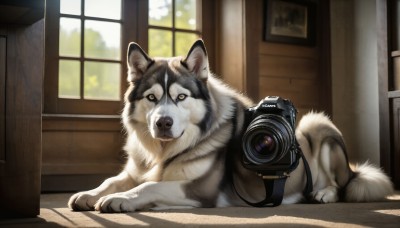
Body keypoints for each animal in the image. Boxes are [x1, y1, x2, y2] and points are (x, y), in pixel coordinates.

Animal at [69, 40, 394, 213]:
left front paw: (119, 200)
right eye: (152, 98)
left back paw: (324, 193)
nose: (163, 122)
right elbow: (113, 180)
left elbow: (149, 186)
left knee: (344, 183)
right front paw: (89, 193)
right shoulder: (135, 170)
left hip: (317, 123)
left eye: (181, 97)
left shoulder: (200, 190)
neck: (163, 152)